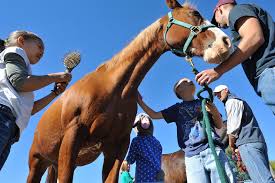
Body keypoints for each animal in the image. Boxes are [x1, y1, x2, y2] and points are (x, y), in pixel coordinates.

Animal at [26, 0, 233, 182]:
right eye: (195, 14)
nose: (225, 42)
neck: (115, 89)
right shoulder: (73, 136)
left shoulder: (117, 146)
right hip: (37, 162)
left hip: (55, 163)